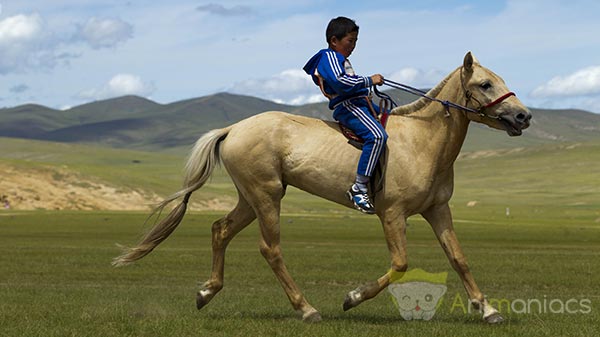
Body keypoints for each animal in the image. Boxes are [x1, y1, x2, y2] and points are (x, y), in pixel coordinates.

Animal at [112, 52, 528, 322]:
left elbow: (458, 258)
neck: (422, 143)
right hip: (267, 197)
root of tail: (233, 129)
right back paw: (307, 309)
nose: (523, 115)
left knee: (220, 230)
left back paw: (206, 293)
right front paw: (352, 298)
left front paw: (488, 309)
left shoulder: (437, 210)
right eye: (485, 84)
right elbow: (400, 264)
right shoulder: (392, 214)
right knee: (270, 249)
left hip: (250, 198)